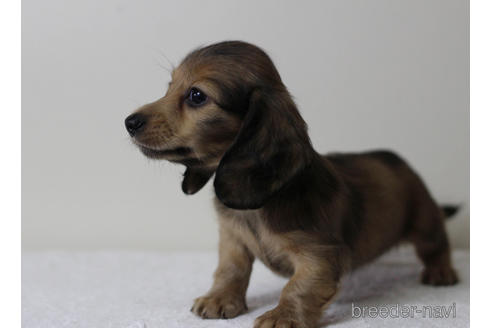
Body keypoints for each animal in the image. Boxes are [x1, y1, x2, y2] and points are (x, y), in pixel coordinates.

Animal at [126, 41, 458, 328]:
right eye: (169, 86)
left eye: (196, 95)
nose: (129, 122)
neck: (260, 204)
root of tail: (397, 159)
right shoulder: (232, 239)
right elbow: (230, 269)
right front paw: (219, 299)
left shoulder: (321, 255)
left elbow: (299, 287)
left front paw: (283, 316)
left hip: (425, 224)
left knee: (438, 244)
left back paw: (441, 271)